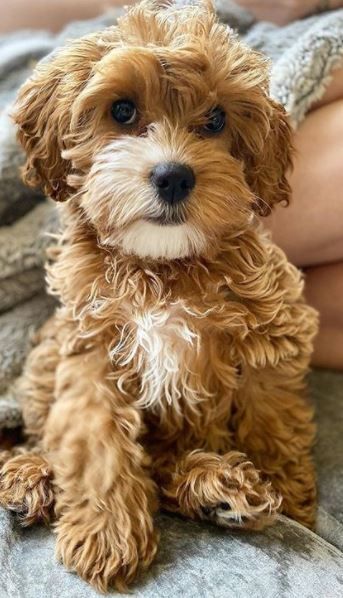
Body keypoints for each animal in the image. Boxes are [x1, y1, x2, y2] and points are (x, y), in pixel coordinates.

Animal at [0, 0, 320, 592]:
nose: (174, 176)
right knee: (40, 441)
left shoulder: (271, 329)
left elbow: (272, 417)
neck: (161, 268)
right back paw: (29, 478)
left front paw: (290, 500)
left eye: (216, 121)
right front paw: (106, 535)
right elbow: (96, 441)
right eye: (122, 111)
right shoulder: (90, 348)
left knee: (169, 468)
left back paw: (219, 489)